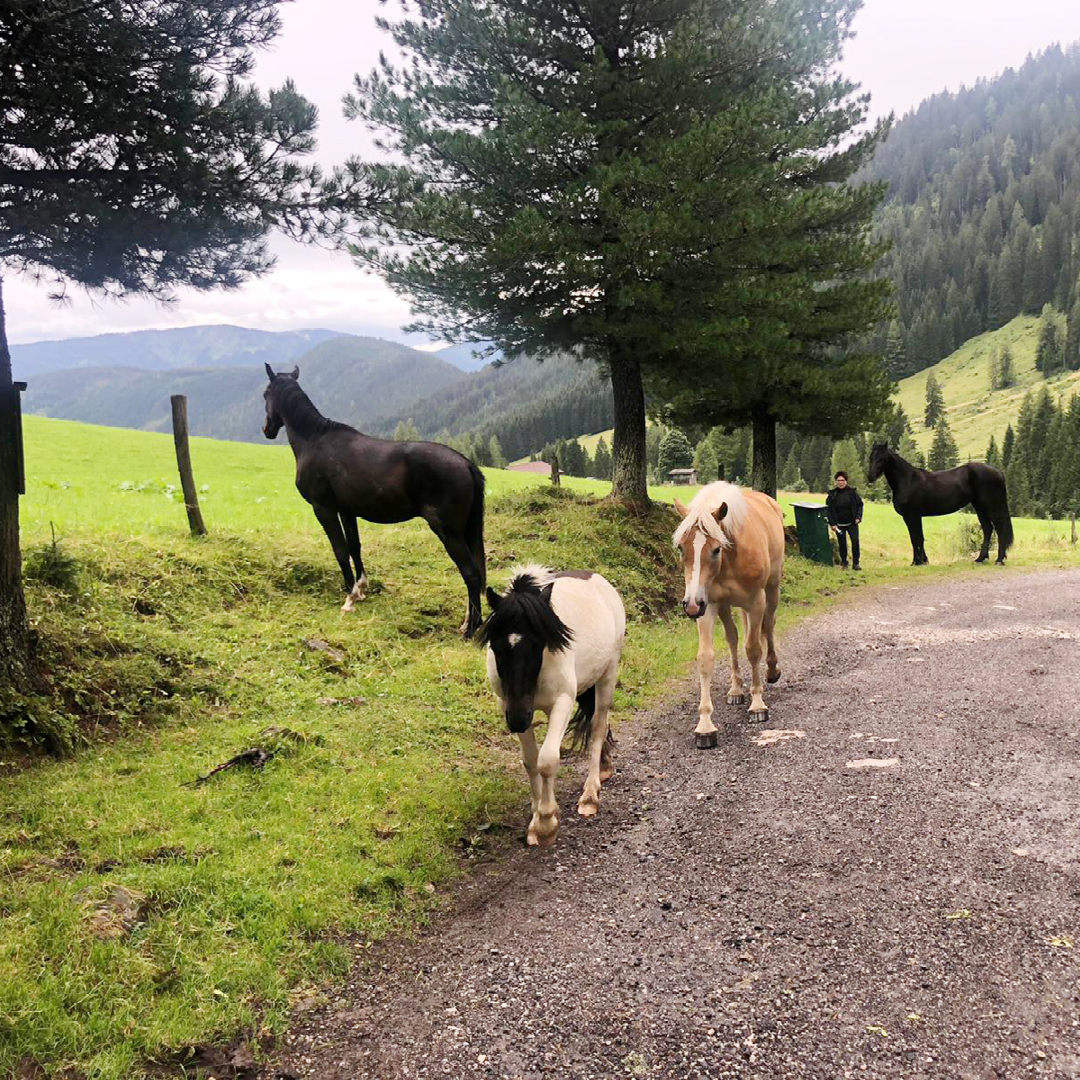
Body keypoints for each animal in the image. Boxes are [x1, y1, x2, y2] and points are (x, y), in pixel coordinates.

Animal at [261, 365, 486, 630]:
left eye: (265, 394)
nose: (267, 429)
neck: (315, 441)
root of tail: (466, 464)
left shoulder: (323, 508)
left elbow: (339, 549)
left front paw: (349, 598)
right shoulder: (346, 510)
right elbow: (354, 546)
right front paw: (360, 590)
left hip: (449, 532)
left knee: (470, 573)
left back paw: (471, 628)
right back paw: (469, 621)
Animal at [481, 561, 626, 846]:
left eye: (537, 644)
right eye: (497, 646)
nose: (517, 720)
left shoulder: (561, 702)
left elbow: (547, 760)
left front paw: (547, 822)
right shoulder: (511, 705)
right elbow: (530, 760)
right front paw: (536, 817)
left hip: (607, 675)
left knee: (597, 727)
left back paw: (590, 794)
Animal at [673, 486, 786, 747]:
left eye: (716, 549)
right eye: (682, 548)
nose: (689, 605)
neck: (731, 558)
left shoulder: (755, 602)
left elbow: (753, 649)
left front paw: (758, 705)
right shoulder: (708, 605)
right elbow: (706, 658)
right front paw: (705, 726)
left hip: (771, 590)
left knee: (768, 625)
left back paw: (771, 671)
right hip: (724, 607)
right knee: (733, 638)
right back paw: (735, 690)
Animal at [864, 442, 1015, 570]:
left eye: (881, 458)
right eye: (871, 457)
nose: (870, 476)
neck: (907, 480)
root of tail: (998, 472)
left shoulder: (913, 516)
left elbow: (917, 538)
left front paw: (918, 562)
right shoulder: (910, 517)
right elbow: (916, 538)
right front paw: (920, 561)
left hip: (991, 506)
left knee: (1000, 529)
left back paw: (999, 560)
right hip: (980, 507)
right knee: (988, 529)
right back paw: (980, 559)